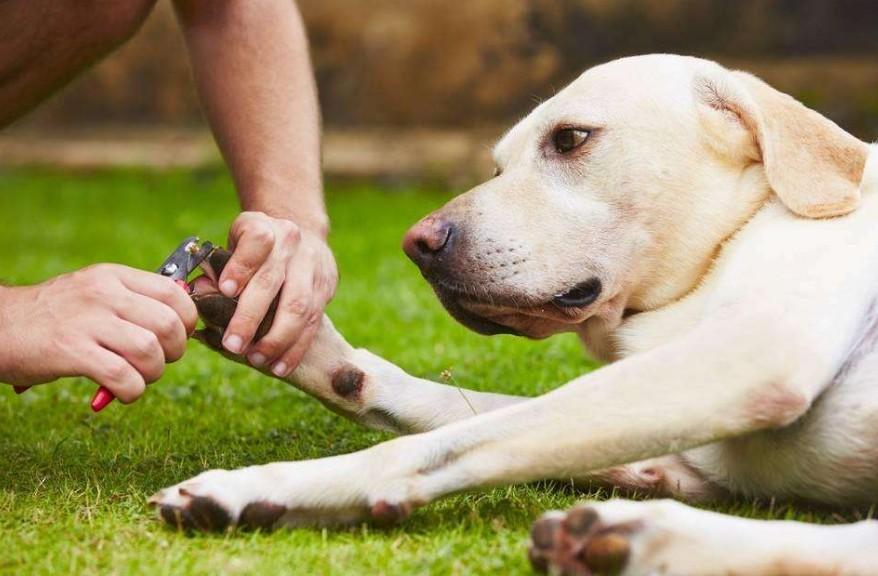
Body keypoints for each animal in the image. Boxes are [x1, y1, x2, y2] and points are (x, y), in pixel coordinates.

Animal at [151, 55, 878, 576]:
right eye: (498, 166)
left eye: (572, 138)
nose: (418, 245)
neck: (730, 235)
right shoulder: (682, 456)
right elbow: (438, 407)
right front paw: (306, 345)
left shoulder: (754, 353)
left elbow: (434, 444)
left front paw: (262, 485)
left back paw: (637, 538)